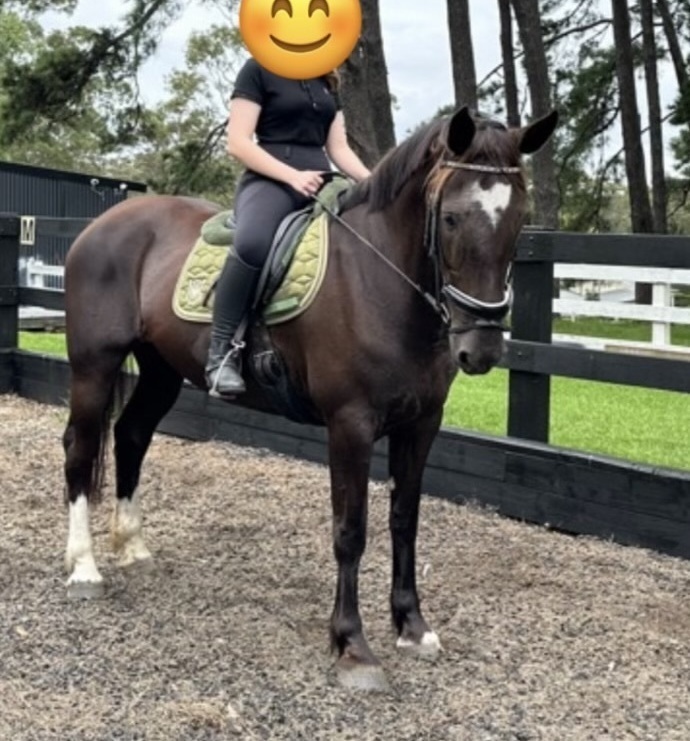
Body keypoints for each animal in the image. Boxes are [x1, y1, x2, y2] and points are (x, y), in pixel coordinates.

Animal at [61, 106, 557, 691]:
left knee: (132, 435)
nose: (481, 348)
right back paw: (84, 568)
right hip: (94, 366)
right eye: (453, 218)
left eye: (519, 218)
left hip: (161, 369)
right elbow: (351, 530)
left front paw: (412, 626)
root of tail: (104, 223)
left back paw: (133, 547)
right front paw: (353, 646)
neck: (380, 279)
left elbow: (405, 520)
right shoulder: (350, 424)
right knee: (80, 449)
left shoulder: (421, 423)